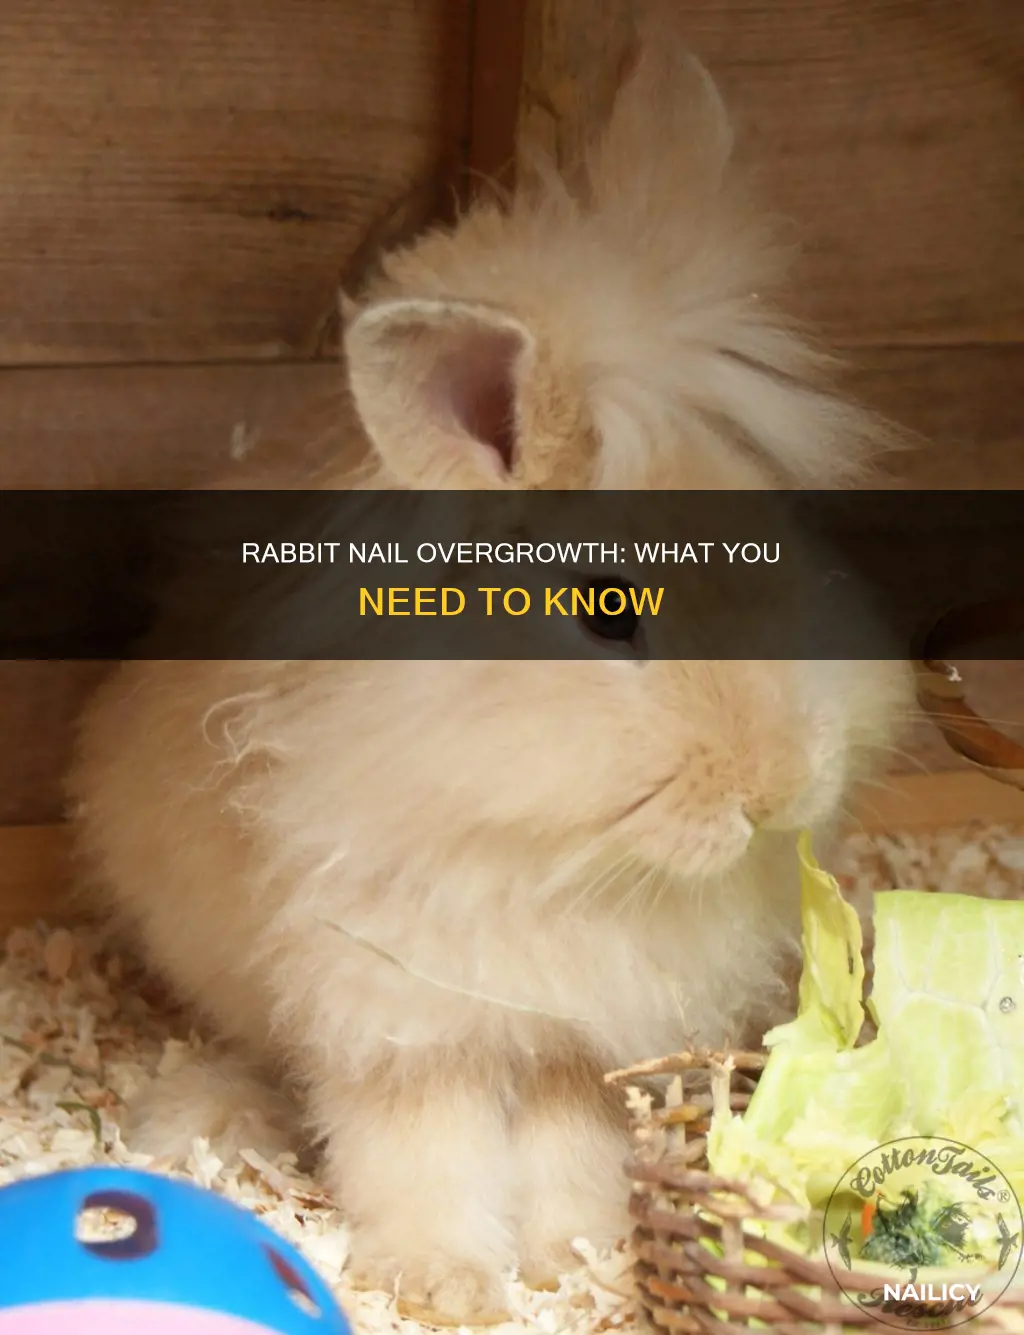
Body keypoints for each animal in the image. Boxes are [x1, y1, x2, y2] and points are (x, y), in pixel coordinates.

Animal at [68, 20, 913, 1326]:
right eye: (609, 611)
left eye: (779, 531)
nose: (782, 787)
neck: (560, 861)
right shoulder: (403, 1017)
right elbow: (422, 1150)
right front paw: (446, 1284)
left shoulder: (583, 1040)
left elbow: (569, 1148)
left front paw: (573, 1256)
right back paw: (208, 1113)